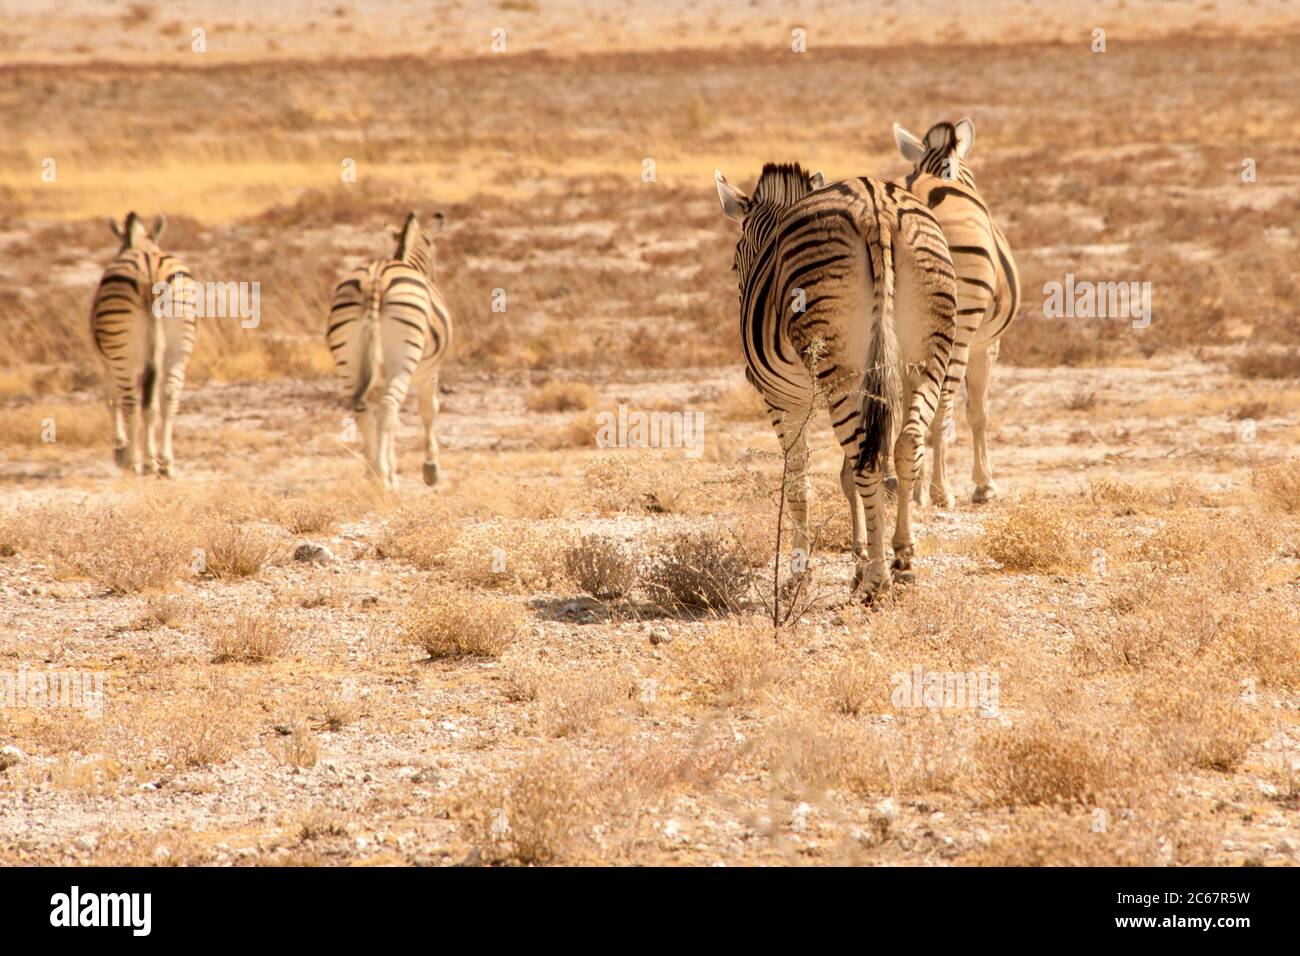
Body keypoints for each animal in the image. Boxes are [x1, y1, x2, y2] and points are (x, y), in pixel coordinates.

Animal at [90, 212, 198, 476]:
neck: (143, 245)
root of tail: (151, 273)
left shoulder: (107, 361)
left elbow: (113, 399)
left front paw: (121, 449)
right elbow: (151, 404)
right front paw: (150, 458)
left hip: (122, 353)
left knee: (131, 401)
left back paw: (134, 461)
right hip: (178, 347)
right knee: (168, 396)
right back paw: (164, 462)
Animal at [327, 211, 452, 489]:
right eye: (435, 251)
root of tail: (375, 280)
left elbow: (393, 424)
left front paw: (389, 469)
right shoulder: (430, 372)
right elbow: (429, 410)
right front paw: (431, 469)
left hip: (348, 362)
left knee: (363, 412)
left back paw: (375, 475)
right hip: (403, 360)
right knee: (387, 407)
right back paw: (382, 477)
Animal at [714, 163, 957, 600]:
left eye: (737, 259)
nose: (745, 374)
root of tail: (875, 206)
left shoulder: (784, 399)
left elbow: (799, 483)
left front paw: (799, 576)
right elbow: (845, 476)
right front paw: (859, 560)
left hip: (842, 369)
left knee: (867, 462)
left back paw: (877, 582)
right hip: (925, 357)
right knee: (905, 446)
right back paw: (902, 559)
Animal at [887, 118, 1020, 506]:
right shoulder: (987, 344)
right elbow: (978, 411)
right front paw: (984, 484)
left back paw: (905, 485)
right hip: (958, 325)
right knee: (943, 403)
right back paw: (940, 490)